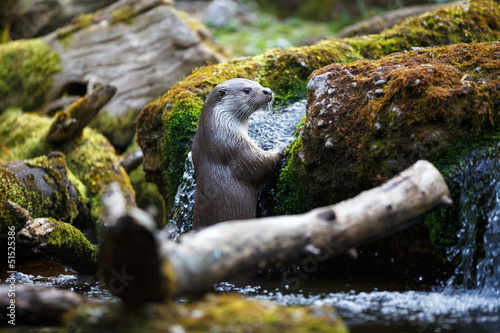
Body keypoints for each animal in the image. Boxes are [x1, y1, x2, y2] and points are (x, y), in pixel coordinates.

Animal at [191, 78, 286, 228]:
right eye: (246, 90)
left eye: (258, 83)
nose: (268, 91)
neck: (218, 130)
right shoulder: (235, 147)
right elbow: (260, 164)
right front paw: (281, 145)